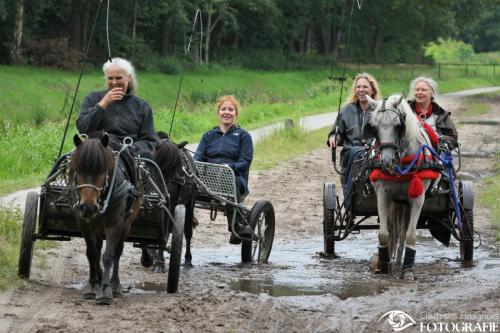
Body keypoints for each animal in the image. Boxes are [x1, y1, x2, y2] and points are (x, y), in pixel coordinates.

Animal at [68, 133, 139, 304]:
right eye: (77, 169)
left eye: (103, 170)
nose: (88, 207)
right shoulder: (84, 223)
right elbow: (92, 253)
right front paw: (93, 285)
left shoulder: (115, 224)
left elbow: (108, 256)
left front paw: (105, 291)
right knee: (98, 247)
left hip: (127, 223)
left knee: (118, 252)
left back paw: (115, 285)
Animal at [366, 93, 440, 278]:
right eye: (374, 127)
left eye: (398, 125)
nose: (387, 161)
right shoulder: (383, 195)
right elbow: (384, 234)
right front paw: (384, 265)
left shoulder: (418, 198)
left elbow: (410, 235)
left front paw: (408, 270)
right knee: (397, 231)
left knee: (403, 232)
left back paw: (401, 263)